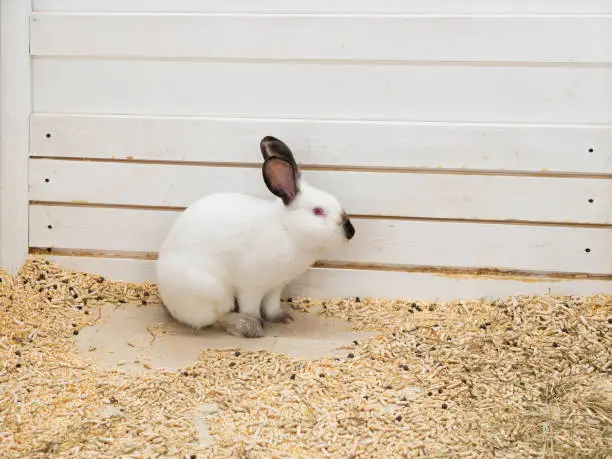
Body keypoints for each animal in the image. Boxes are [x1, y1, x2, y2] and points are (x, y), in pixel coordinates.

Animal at [154, 136, 354, 338]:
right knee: (216, 318)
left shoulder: (276, 286)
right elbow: (250, 307)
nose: (351, 232)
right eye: (318, 211)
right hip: (210, 291)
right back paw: (248, 327)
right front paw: (257, 322)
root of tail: (168, 300)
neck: (287, 229)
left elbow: (272, 305)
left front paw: (282, 318)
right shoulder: (251, 286)